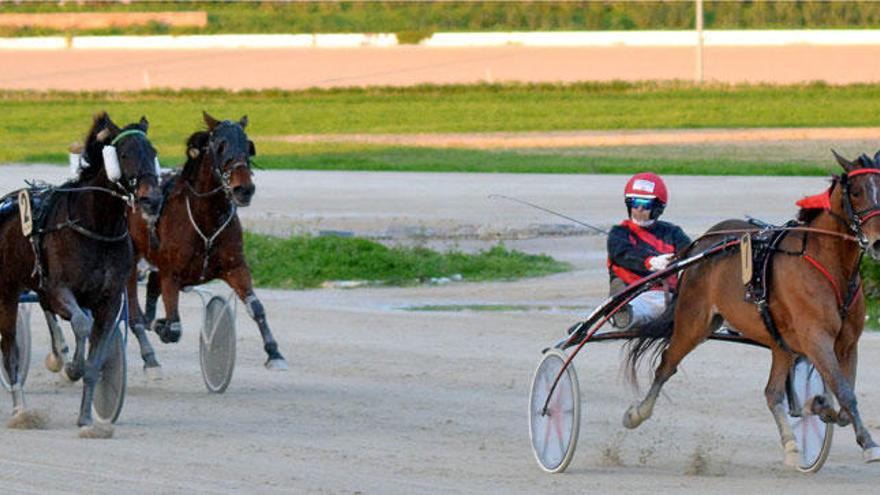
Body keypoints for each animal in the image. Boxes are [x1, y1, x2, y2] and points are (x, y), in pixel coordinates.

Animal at [0, 110, 160, 436]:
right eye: (125, 154)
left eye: (153, 152)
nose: (152, 199)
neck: (97, 227)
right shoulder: (59, 290)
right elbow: (82, 324)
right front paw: (72, 367)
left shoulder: (109, 300)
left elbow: (96, 360)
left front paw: (87, 418)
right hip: (7, 292)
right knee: (10, 351)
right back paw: (21, 411)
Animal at [126, 112, 288, 376]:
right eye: (220, 146)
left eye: (249, 147)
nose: (244, 189)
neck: (207, 219)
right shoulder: (172, 274)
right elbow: (173, 327)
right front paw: (161, 325)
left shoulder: (235, 267)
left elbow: (255, 307)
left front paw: (274, 353)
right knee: (135, 314)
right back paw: (149, 355)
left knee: (151, 284)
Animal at [620, 153, 880, 466]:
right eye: (856, 192)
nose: (879, 241)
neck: (828, 264)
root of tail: (703, 243)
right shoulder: (816, 338)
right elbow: (843, 390)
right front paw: (868, 443)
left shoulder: (847, 343)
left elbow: (844, 397)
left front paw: (819, 405)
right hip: (694, 322)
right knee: (666, 364)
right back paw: (636, 413)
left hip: (779, 341)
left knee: (772, 393)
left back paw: (792, 445)